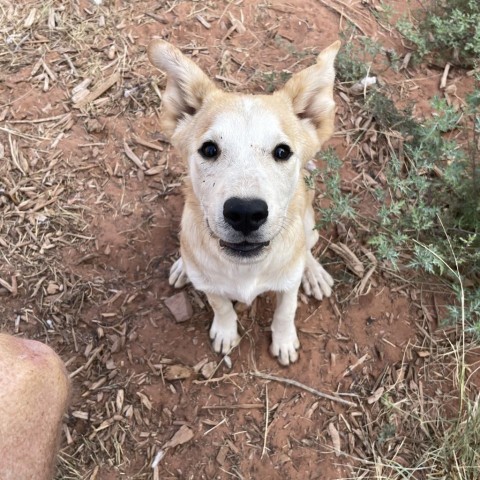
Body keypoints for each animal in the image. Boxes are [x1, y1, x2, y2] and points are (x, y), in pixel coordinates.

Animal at [148, 39, 340, 366]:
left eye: (282, 152)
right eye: (209, 149)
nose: (246, 213)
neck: (247, 269)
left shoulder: (288, 284)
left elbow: (286, 311)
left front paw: (284, 341)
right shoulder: (210, 285)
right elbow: (221, 305)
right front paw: (226, 332)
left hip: (309, 221)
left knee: (308, 247)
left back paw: (313, 272)